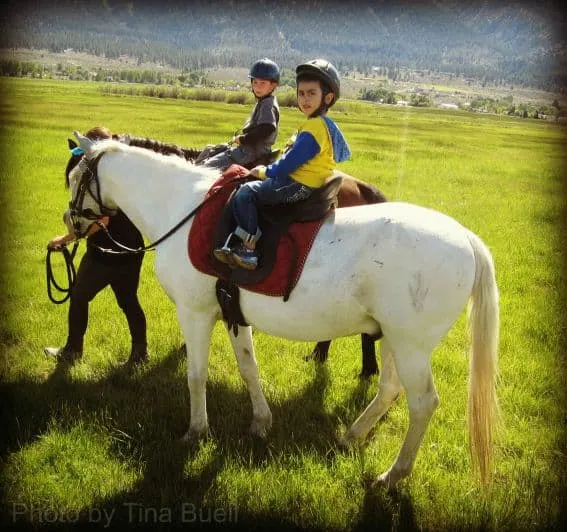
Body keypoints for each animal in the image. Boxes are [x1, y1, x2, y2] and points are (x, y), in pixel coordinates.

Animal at [69, 132, 500, 486]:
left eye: (74, 179)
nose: (69, 221)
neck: (181, 208)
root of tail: (465, 237)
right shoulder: (233, 315)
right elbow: (248, 369)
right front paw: (261, 423)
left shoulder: (195, 314)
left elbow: (196, 376)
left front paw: (196, 431)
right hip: (394, 339)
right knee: (390, 389)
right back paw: (351, 437)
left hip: (411, 346)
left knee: (423, 403)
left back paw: (394, 474)